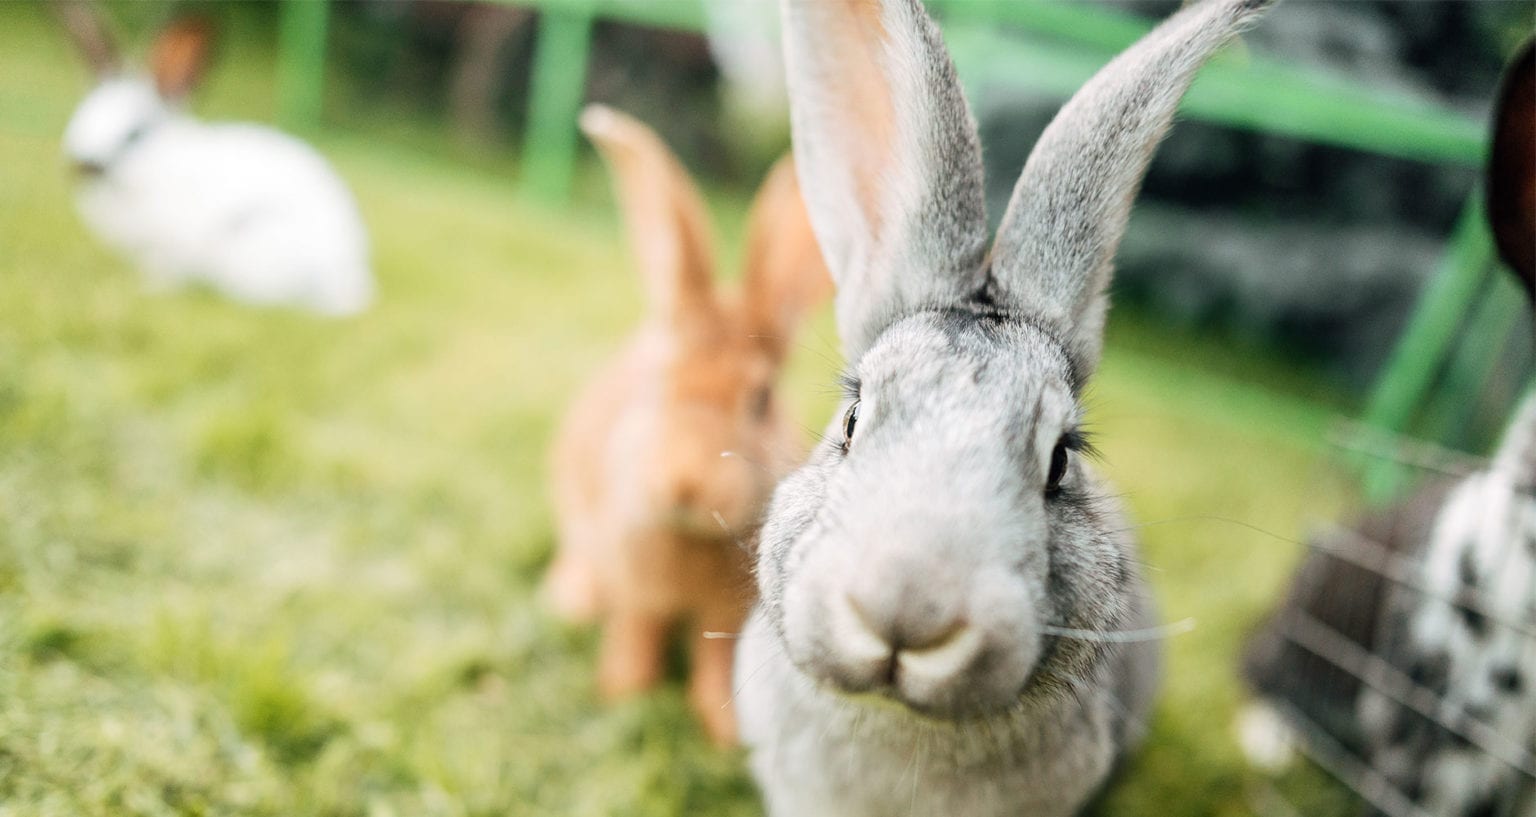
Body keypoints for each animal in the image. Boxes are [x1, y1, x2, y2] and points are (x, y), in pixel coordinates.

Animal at [54, 2, 373, 317]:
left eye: (135, 134)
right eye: (82, 117)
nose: (84, 165)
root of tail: (348, 281)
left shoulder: (173, 240)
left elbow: (167, 269)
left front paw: (152, 289)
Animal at [544, 104, 830, 746]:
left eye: (761, 400)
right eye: (659, 381)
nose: (684, 483)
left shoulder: (726, 614)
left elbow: (715, 660)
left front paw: (725, 732)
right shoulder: (636, 586)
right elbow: (636, 632)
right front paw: (623, 693)